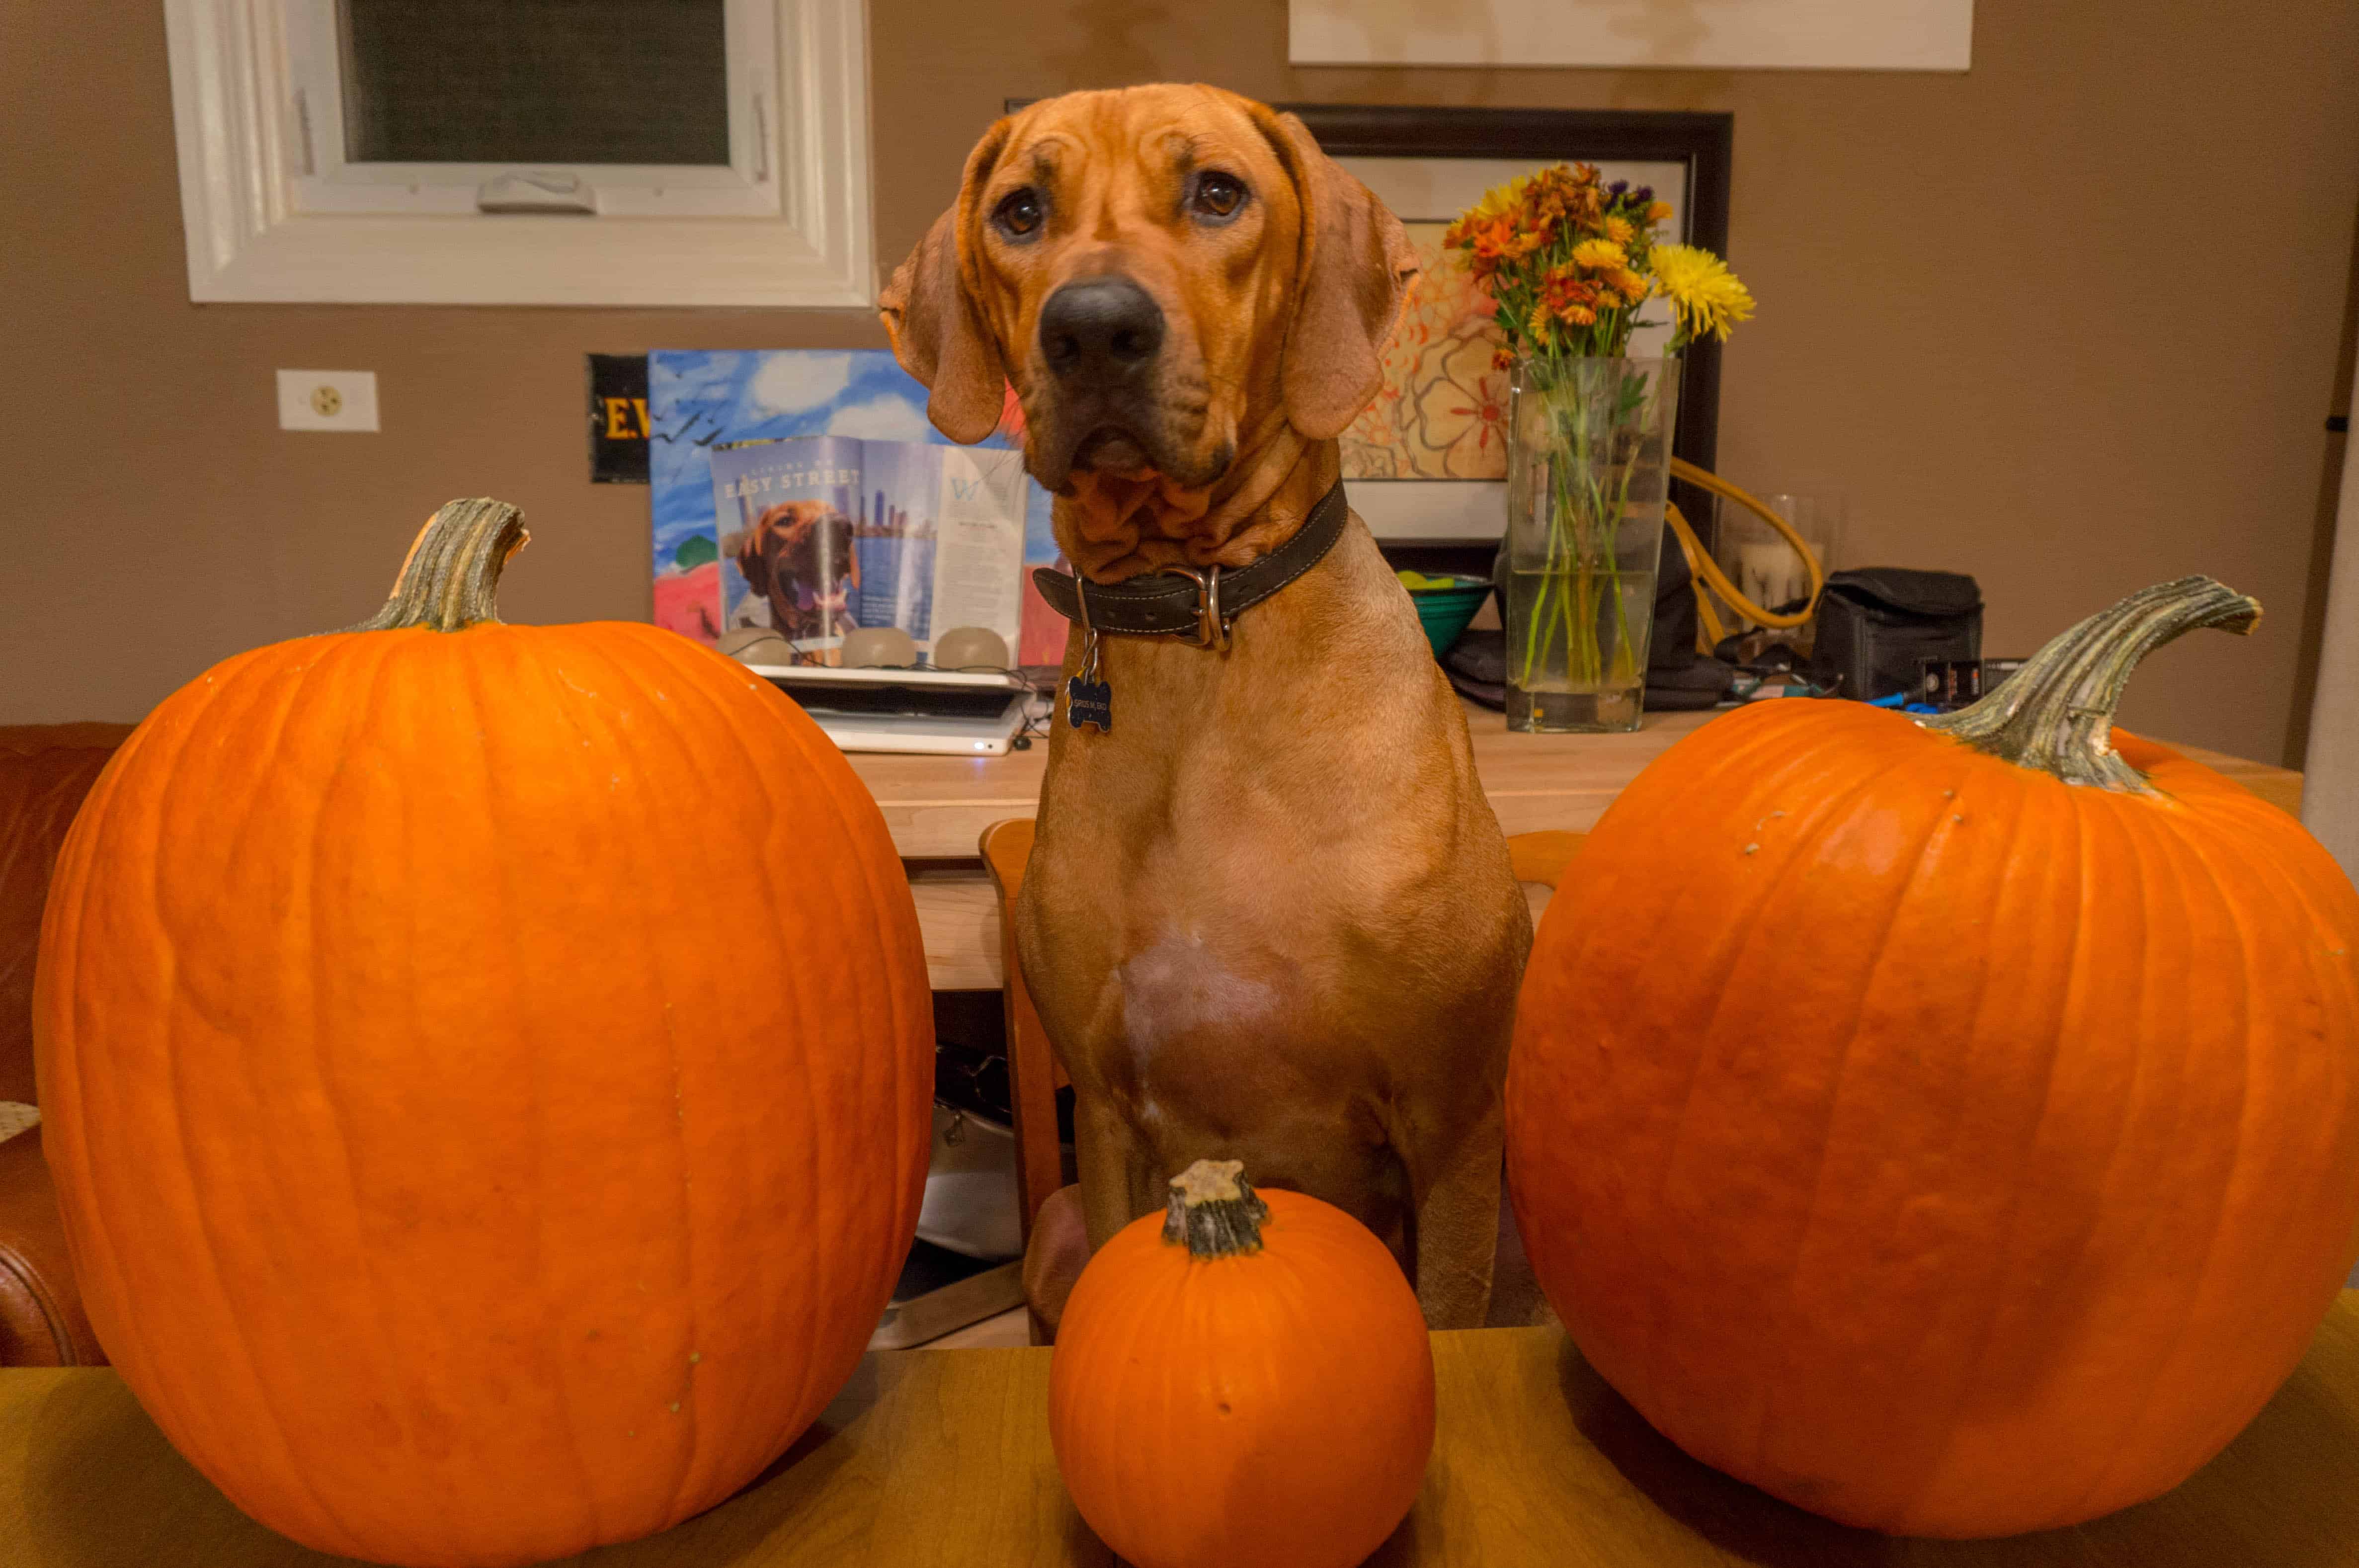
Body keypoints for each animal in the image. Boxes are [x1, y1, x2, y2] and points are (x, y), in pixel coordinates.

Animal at [877, 80, 1519, 1311]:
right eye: (1021, 211)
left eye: (1218, 194)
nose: (1092, 329)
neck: (1197, 609)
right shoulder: (1110, 1122)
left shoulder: (1454, 1125)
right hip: (1055, 1232)